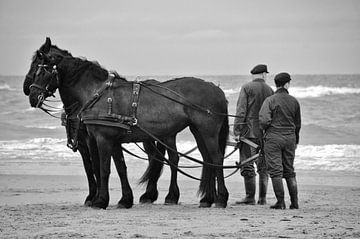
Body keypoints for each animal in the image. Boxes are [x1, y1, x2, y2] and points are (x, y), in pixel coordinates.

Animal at [28, 37, 231, 209]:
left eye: (42, 70)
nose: (31, 96)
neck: (95, 93)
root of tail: (217, 90)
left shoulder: (103, 138)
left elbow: (104, 169)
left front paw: (100, 201)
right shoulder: (107, 139)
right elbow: (117, 168)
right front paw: (124, 200)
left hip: (207, 131)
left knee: (216, 158)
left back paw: (220, 198)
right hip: (197, 131)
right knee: (206, 160)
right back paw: (206, 199)